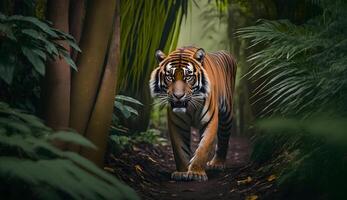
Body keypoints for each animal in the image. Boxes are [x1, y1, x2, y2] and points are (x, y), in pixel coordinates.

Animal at [149, 46, 237, 181]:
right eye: (170, 76)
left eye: (188, 77)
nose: (178, 96)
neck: (190, 107)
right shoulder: (177, 124)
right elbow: (180, 150)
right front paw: (182, 172)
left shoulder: (210, 120)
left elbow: (203, 147)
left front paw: (196, 173)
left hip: (227, 114)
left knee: (223, 137)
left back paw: (217, 163)